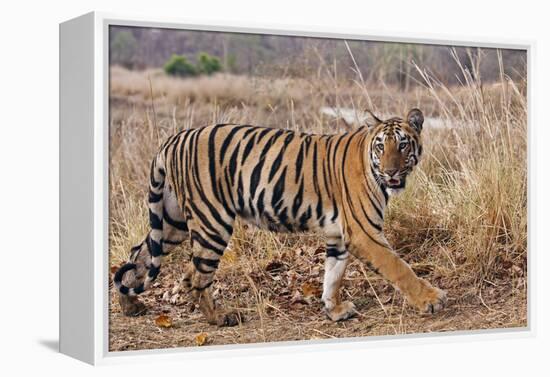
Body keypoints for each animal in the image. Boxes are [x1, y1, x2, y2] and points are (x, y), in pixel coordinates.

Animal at [113, 107, 448, 324]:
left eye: (403, 145)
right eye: (381, 146)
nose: (391, 172)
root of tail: (175, 138)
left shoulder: (338, 235)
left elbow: (333, 274)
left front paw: (334, 310)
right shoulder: (364, 232)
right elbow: (399, 267)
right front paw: (432, 299)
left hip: (173, 221)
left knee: (139, 253)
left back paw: (130, 305)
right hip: (212, 222)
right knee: (195, 275)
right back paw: (220, 317)